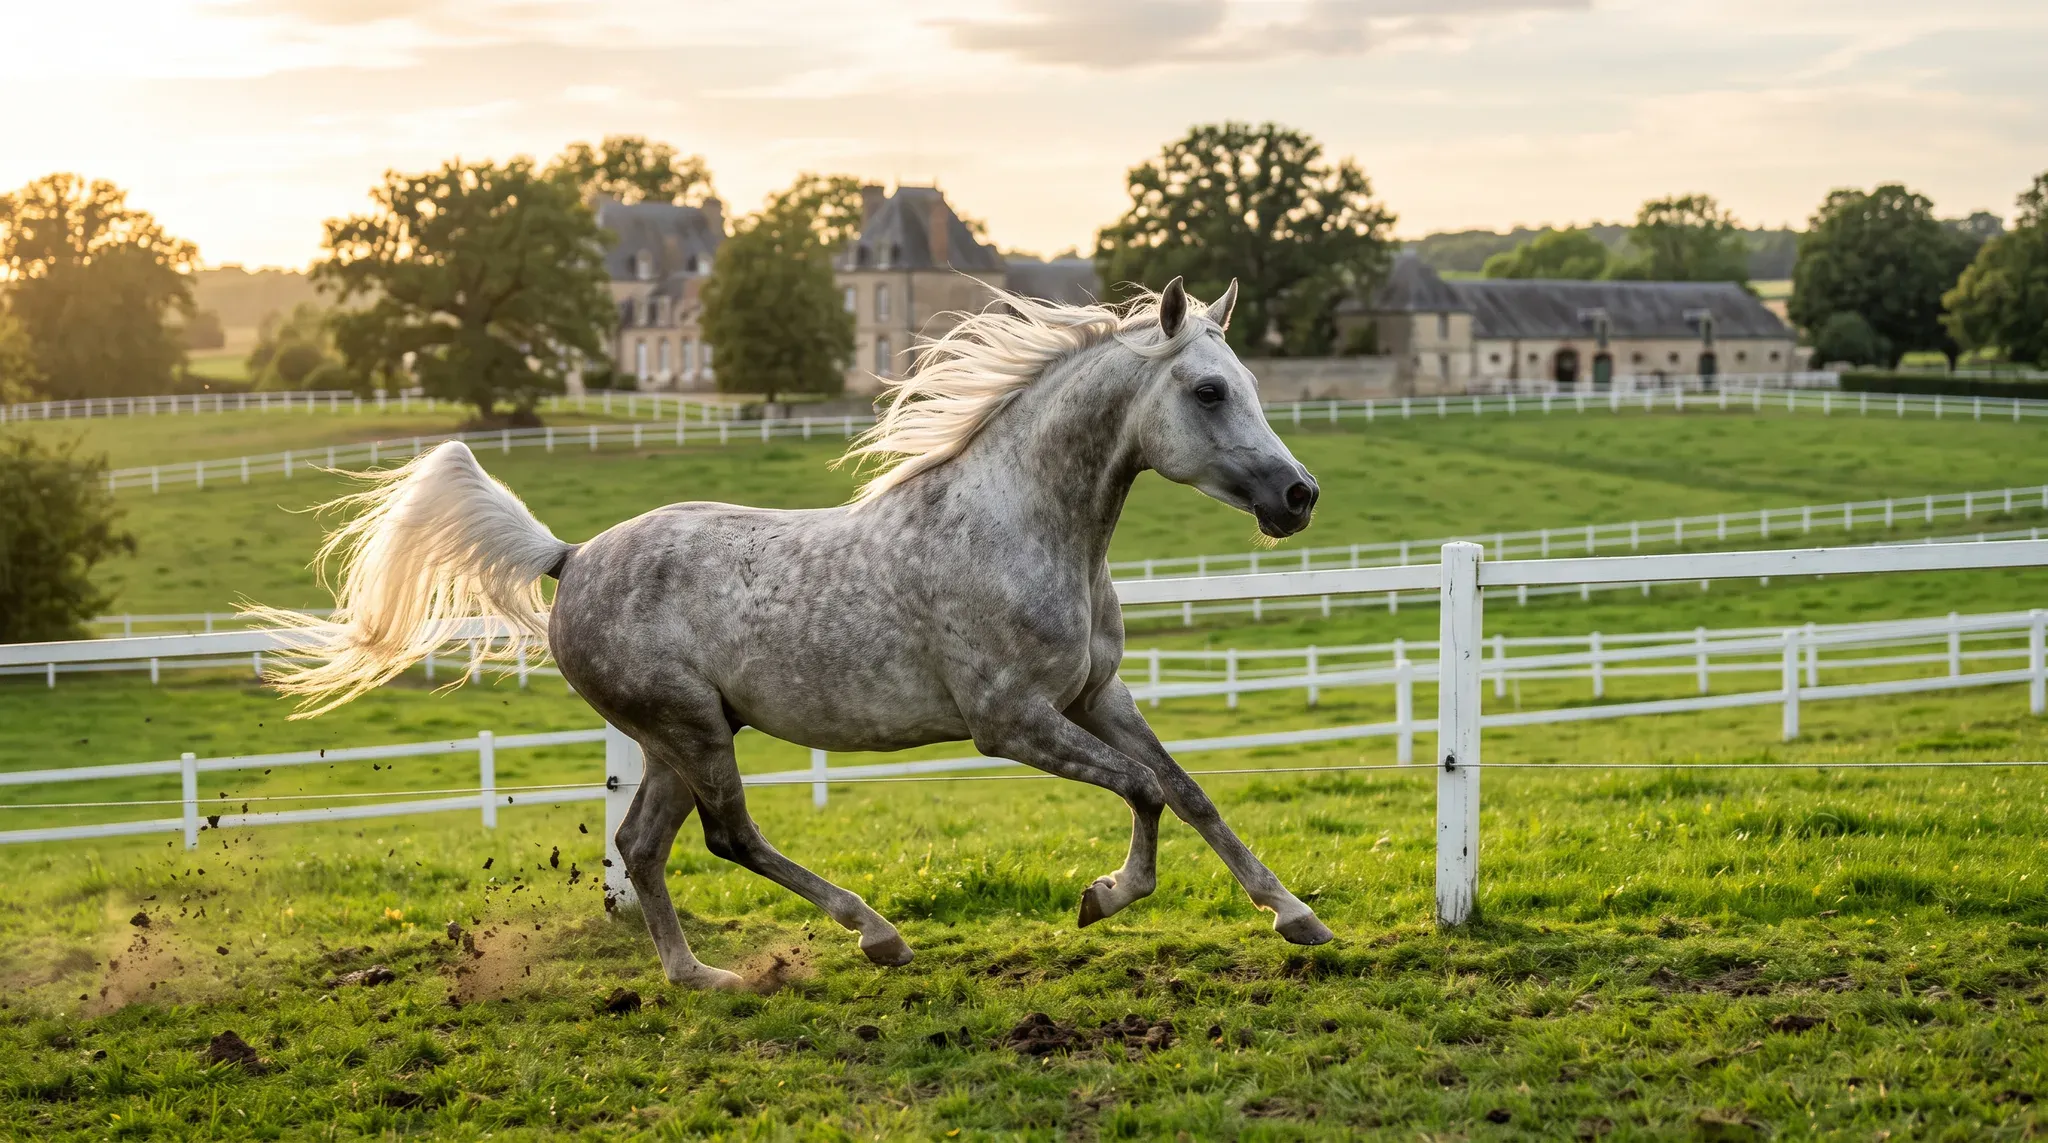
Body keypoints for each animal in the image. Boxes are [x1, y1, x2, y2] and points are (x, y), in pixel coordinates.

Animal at [255, 277, 1333, 989]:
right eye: (1206, 390)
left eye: (1246, 380)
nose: (1298, 496)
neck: (1019, 527)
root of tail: (571, 557)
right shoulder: (1011, 722)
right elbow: (1144, 791)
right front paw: (1102, 896)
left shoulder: (1095, 694)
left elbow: (1188, 791)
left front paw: (1298, 916)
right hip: (690, 728)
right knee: (728, 836)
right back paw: (875, 935)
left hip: (676, 738)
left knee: (642, 846)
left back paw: (703, 978)